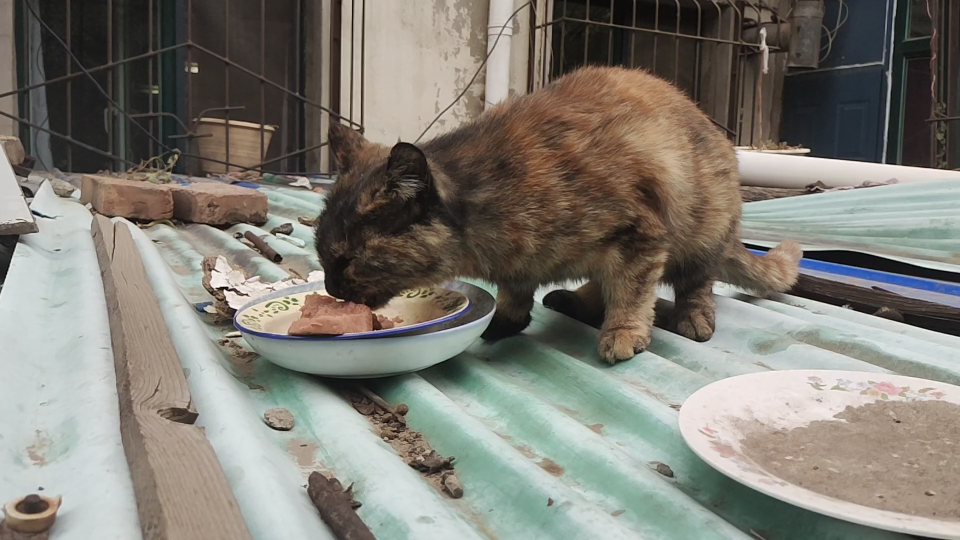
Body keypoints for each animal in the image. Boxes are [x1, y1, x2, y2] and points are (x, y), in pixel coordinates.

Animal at [316, 66, 804, 362]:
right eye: (323, 256)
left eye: (349, 259)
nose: (332, 288)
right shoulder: (521, 264)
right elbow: (517, 296)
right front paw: (504, 321)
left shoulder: (641, 232)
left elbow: (633, 292)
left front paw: (624, 332)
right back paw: (575, 300)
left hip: (702, 221)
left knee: (694, 281)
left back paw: (691, 316)